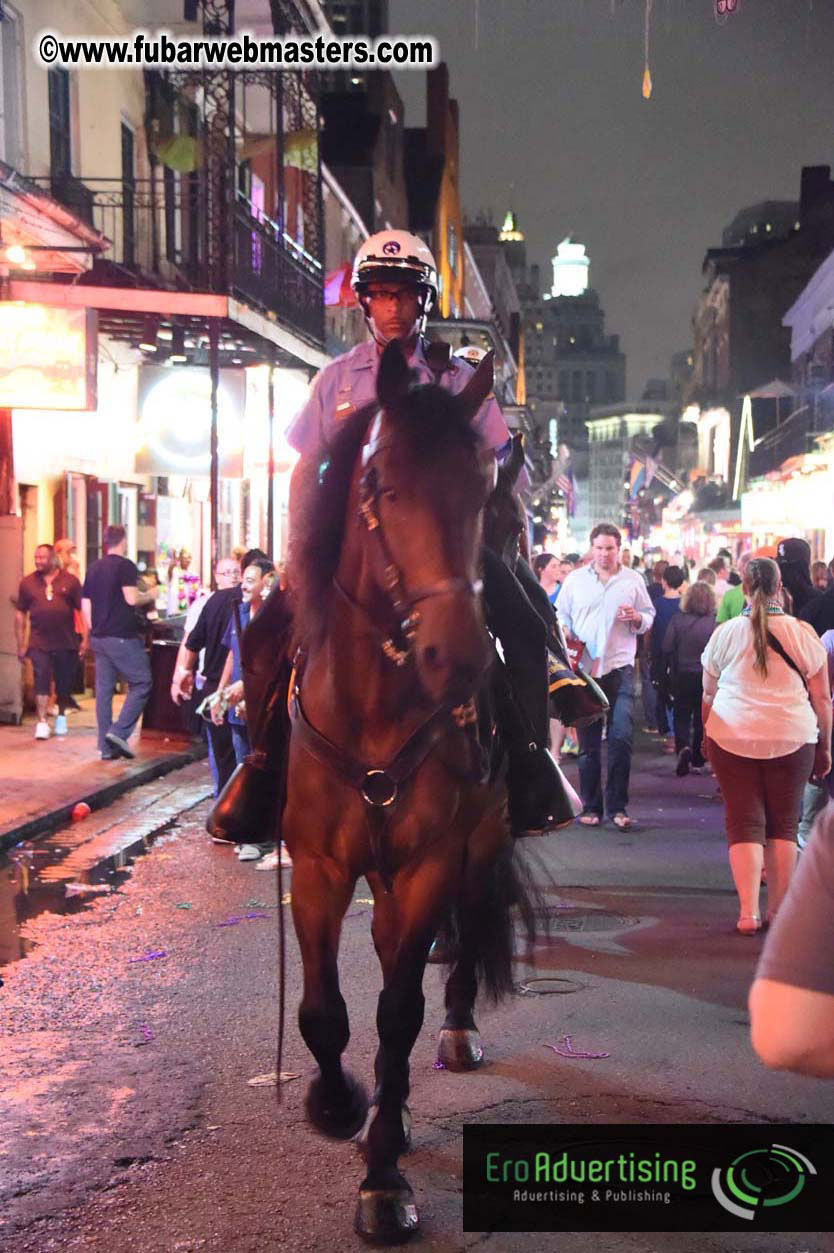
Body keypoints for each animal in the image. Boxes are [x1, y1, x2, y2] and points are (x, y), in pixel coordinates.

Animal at [283, 343, 535, 1242]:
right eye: (382, 482)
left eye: (483, 487)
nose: (458, 657)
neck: (372, 705)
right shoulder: (318, 867)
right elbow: (323, 1012)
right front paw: (335, 1103)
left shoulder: (429, 862)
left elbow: (397, 1012)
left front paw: (384, 1174)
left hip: (482, 839)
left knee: (464, 928)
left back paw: (458, 1029)